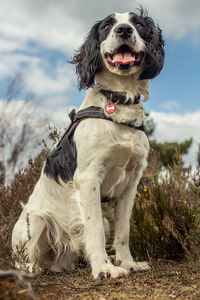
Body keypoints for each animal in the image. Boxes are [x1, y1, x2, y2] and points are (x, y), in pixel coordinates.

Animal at [12, 8, 164, 278]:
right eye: (106, 26)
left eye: (137, 24)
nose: (123, 30)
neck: (118, 102)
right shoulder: (89, 178)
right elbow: (95, 230)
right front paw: (105, 268)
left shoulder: (130, 184)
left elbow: (123, 231)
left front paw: (128, 263)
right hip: (37, 219)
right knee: (25, 257)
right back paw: (31, 268)